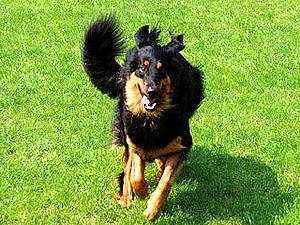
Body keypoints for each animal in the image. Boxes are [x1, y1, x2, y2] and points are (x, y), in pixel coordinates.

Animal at [81, 15, 204, 221]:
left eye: (162, 70)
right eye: (142, 68)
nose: (152, 92)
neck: (151, 119)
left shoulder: (183, 144)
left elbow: (166, 180)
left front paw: (153, 210)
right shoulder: (134, 139)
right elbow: (135, 173)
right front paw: (141, 191)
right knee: (127, 165)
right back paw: (126, 197)